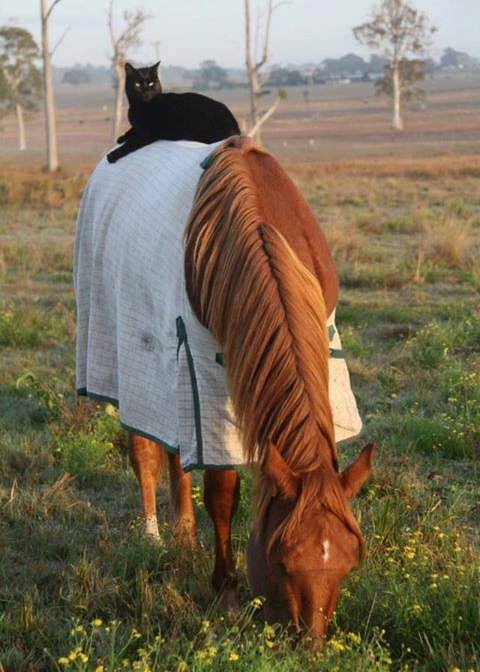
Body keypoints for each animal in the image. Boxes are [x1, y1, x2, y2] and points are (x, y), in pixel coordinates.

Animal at [108, 62, 240, 163]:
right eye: (137, 84)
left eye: (151, 83)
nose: (146, 91)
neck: (139, 107)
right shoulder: (139, 126)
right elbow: (132, 129)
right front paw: (121, 137)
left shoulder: (148, 132)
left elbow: (131, 143)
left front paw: (113, 155)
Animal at [128, 138, 376, 640]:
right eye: (281, 562)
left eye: (347, 565)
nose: (310, 644)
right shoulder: (205, 377)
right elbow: (222, 492)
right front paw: (225, 593)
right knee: (144, 447)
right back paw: (153, 536)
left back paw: (183, 532)